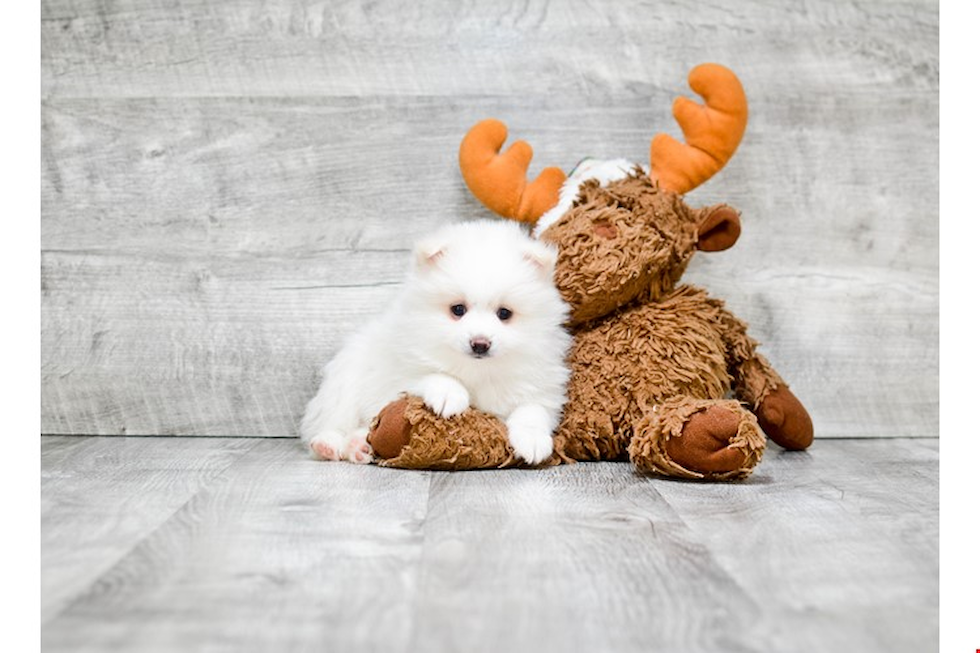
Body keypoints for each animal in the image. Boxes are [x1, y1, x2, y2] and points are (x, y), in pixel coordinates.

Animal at [302, 222, 572, 466]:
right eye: (458, 310)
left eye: (504, 314)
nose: (480, 344)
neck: (477, 370)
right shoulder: (399, 373)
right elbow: (433, 374)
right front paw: (449, 395)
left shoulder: (541, 385)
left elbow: (533, 409)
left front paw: (533, 441)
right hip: (343, 385)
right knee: (331, 425)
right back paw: (330, 444)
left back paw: (359, 446)